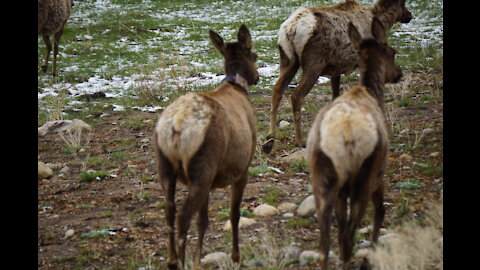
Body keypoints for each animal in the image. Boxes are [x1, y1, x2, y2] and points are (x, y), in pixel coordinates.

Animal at [154, 24, 258, 268]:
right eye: (255, 56)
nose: (257, 77)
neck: (236, 86)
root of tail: (177, 126)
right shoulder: (243, 168)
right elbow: (234, 214)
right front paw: (236, 257)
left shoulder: (211, 182)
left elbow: (203, 220)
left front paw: (199, 260)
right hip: (203, 166)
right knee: (183, 216)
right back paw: (180, 262)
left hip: (166, 165)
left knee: (169, 209)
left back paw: (172, 259)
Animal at [262, 0, 412, 153]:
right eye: (403, 4)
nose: (409, 15)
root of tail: (291, 28)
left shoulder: (336, 69)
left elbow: (335, 97)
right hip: (314, 63)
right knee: (296, 95)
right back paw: (299, 141)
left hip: (288, 59)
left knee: (277, 89)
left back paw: (270, 137)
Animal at [306, 17, 404, 268]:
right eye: (392, 52)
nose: (398, 73)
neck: (370, 92)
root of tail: (346, 135)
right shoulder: (380, 173)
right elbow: (380, 212)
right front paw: (370, 257)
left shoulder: (341, 192)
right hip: (365, 176)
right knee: (350, 233)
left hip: (324, 175)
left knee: (326, 239)